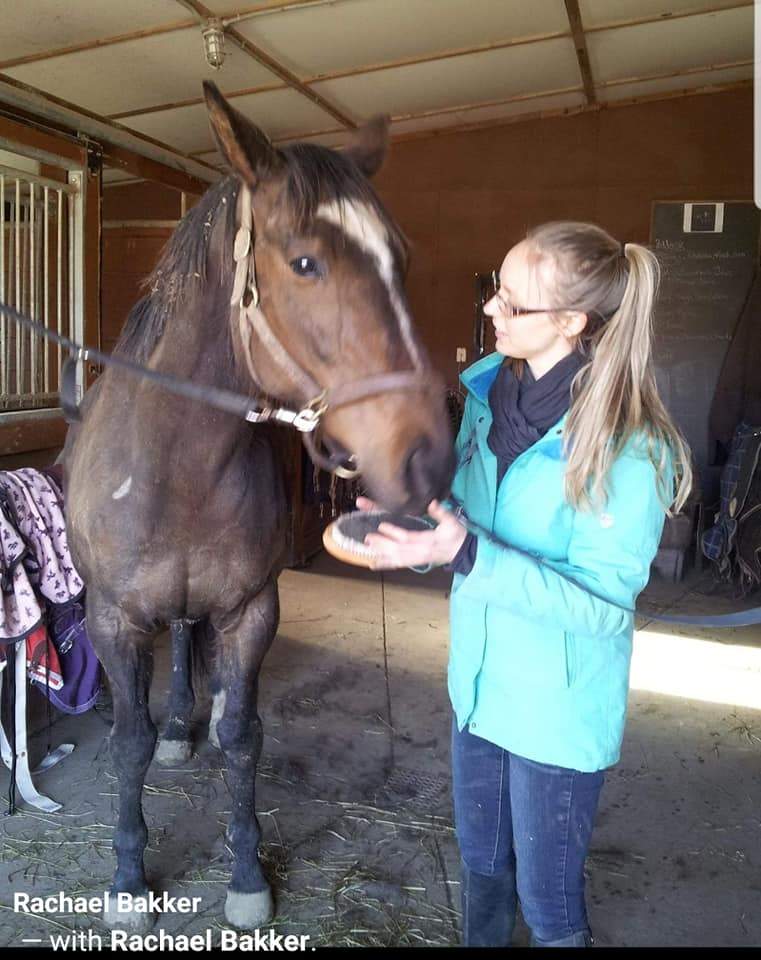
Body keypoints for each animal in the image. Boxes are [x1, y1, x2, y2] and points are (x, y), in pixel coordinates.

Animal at [62, 82, 454, 933]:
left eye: (399, 259)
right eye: (304, 261)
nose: (427, 456)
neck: (175, 462)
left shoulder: (250, 610)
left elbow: (245, 737)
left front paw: (246, 875)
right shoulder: (113, 619)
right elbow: (128, 742)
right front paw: (129, 880)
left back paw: (194, 718)